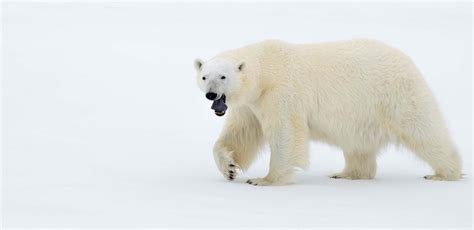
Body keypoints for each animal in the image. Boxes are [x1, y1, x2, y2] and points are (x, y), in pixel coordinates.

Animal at [193, 39, 462, 186]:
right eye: (205, 76)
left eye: (223, 76)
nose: (212, 95)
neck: (266, 69)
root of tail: (406, 60)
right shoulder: (252, 103)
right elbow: (241, 134)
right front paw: (229, 167)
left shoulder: (282, 90)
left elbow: (285, 132)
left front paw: (264, 179)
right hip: (362, 114)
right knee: (357, 146)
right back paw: (347, 174)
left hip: (396, 95)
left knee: (424, 132)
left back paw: (444, 174)